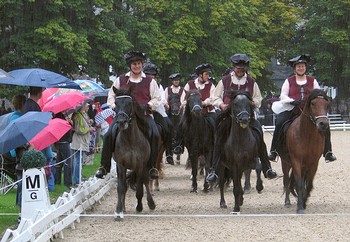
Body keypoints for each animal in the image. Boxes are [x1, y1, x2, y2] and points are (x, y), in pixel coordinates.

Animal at [112, 88, 156, 221]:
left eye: (129, 103)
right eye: (115, 103)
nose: (121, 122)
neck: (130, 139)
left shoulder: (140, 165)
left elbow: (140, 187)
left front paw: (139, 207)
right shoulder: (121, 165)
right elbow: (121, 187)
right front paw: (119, 211)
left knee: (145, 181)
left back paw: (151, 204)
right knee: (124, 186)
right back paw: (123, 207)